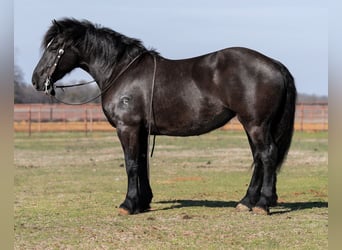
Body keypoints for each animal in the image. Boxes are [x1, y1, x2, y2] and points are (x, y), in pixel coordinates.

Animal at [31, 19, 296, 215]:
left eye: (54, 48)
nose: (36, 80)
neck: (121, 71)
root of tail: (274, 64)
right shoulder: (140, 130)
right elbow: (141, 163)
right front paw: (142, 202)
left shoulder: (127, 128)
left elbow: (131, 164)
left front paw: (128, 204)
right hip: (253, 124)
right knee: (259, 158)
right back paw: (247, 201)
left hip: (256, 124)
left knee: (267, 155)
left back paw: (263, 203)